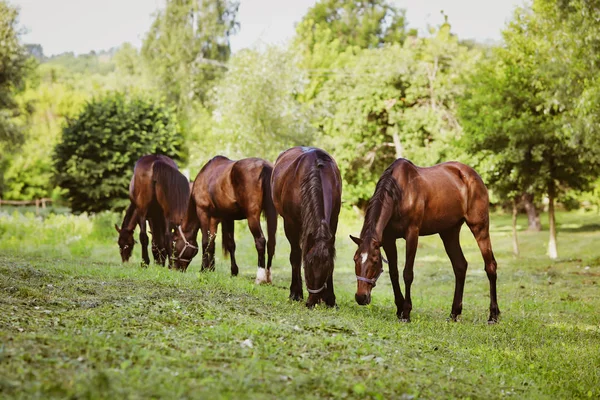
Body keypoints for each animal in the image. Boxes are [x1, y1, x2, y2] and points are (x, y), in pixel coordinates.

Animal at [272, 148, 342, 308]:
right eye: (307, 267)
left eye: (327, 267)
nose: (312, 301)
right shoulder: (290, 224)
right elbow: (296, 256)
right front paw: (295, 293)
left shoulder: (334, 221)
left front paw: (330, 299)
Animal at [350, 158, 500, 324]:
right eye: (355, 259)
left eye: (375, 261)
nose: (361, 297)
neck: (400, 193)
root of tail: (472, 175)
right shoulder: (389, 240)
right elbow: (394, 273)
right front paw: (399, 309)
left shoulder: (412, 234)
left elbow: (407, 274)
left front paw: (406, 313)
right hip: (449, 232)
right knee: (460, 266)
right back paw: (454, 313)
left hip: (480, 227)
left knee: (490, 266)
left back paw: (493, 315)